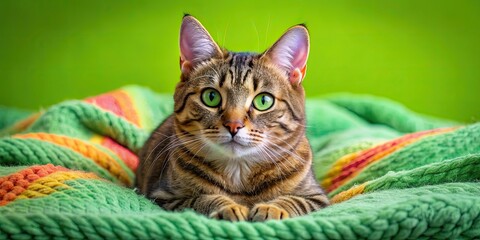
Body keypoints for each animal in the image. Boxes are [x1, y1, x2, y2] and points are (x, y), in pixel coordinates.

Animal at [137, 15, 328, 221]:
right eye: (211, 97)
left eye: (263, 101)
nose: (233, 125)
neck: (239, 171)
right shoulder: (164, 197)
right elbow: (200, 199)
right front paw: (228, 207)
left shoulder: (316, 198)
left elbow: (294, 201)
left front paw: (272, 209)